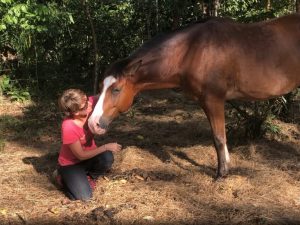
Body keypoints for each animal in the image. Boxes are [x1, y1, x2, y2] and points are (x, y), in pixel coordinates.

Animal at [88, 14, 298, 179]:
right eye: (101, 87)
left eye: (116, 89)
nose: (93, 123)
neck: (193, 50)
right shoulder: (205, 102)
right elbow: (217, 138)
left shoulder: (214, 100)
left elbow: (219, 138)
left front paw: (221, 174)